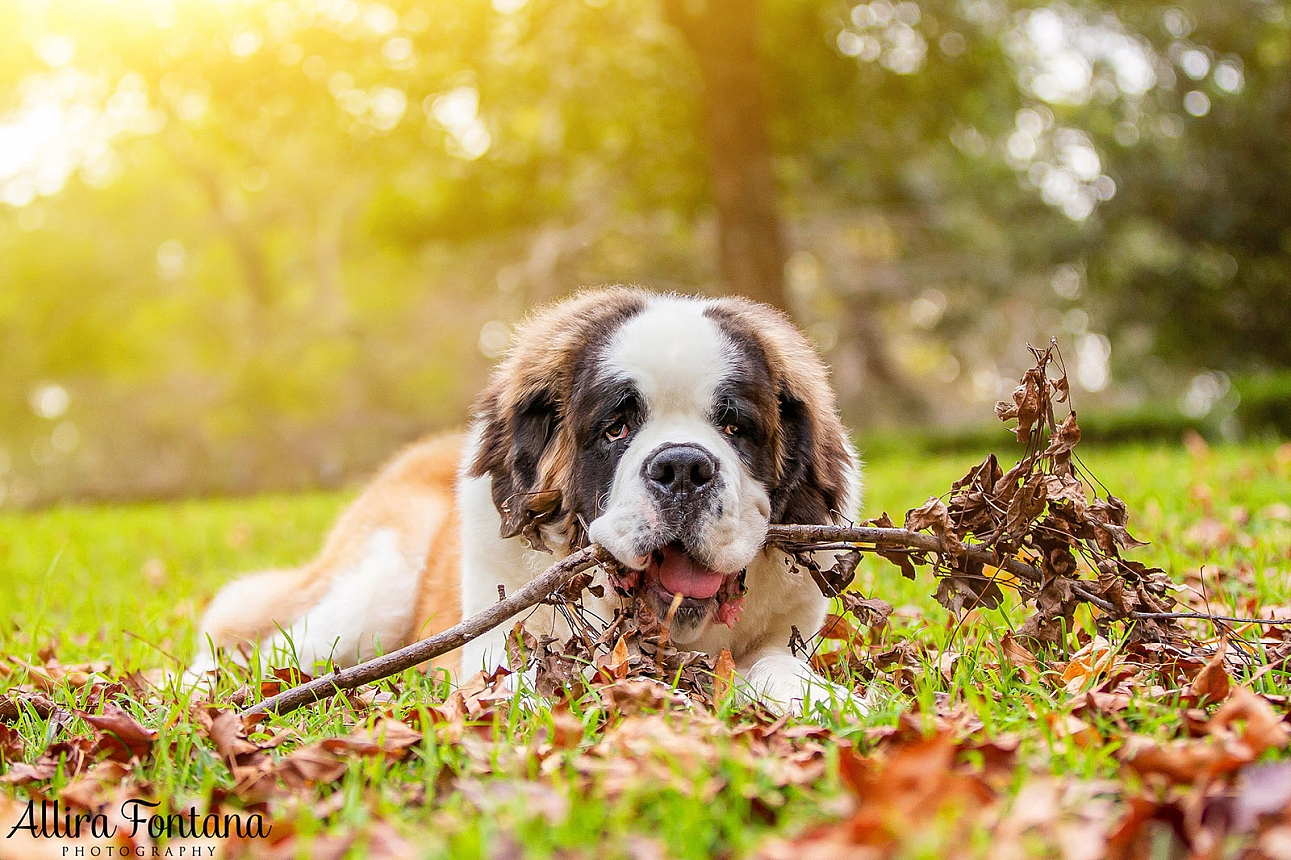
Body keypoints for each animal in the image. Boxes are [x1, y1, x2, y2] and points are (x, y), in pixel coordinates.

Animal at [187, 287, 862, 707]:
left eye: (734, 427)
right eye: (616, 428)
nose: (682, 468)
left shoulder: (784, 635)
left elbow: (777, 665)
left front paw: (824, 700)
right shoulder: (494, 649)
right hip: (373, 588)